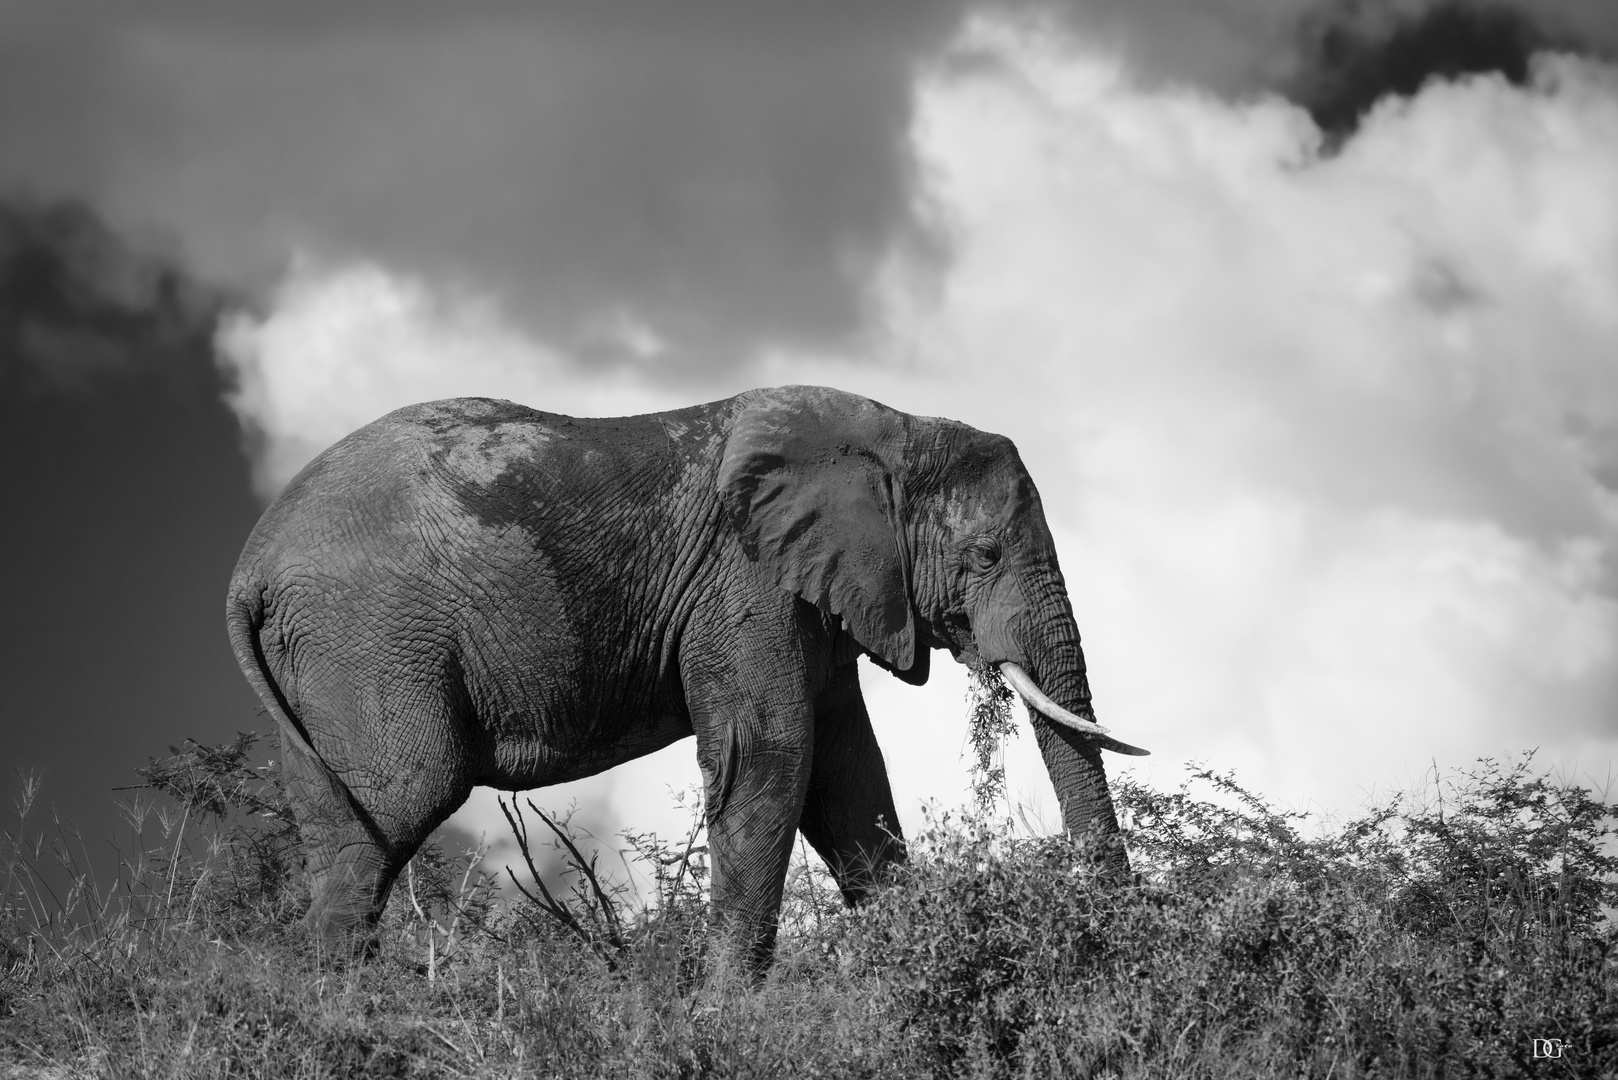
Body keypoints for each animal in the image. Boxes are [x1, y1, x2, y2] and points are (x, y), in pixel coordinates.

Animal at [228, 386, 1145, 971]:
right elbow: (773, 760)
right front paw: (729, 1018)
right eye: (984, 555)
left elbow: (849, 780)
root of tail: (250, 566)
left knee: (339, 825)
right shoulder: (746, 581)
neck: (895, 428)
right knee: (396, 802)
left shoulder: (817, 598)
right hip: (368, 640)